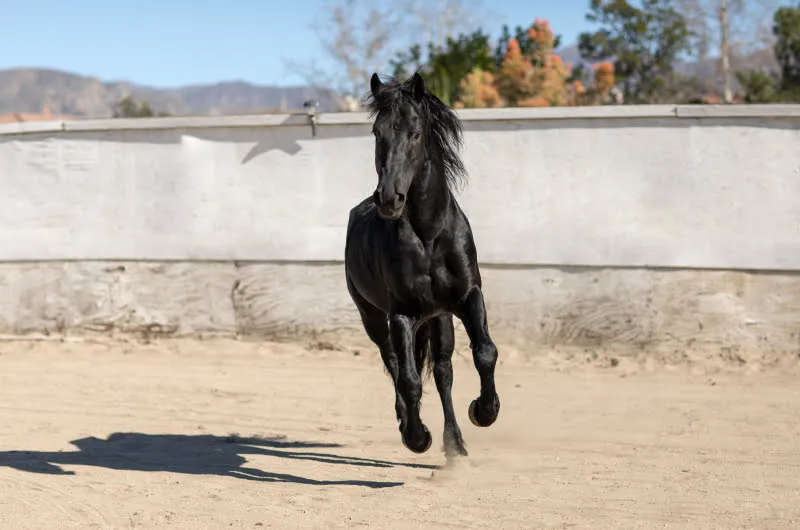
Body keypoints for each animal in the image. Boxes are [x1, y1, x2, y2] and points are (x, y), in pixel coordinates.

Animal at [343, 71, 501, 458]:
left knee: (443, 372)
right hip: (372, 318)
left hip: (439, 318)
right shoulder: (402, 314)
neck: (429, 236)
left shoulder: (469, 297)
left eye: (415, 133)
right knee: (394, 365)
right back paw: (411, 427)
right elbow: (409, 380)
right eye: (377, 133)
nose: (388, 199)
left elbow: (485, 352)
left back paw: (456, 445)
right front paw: (417, 438)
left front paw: (483, 411)